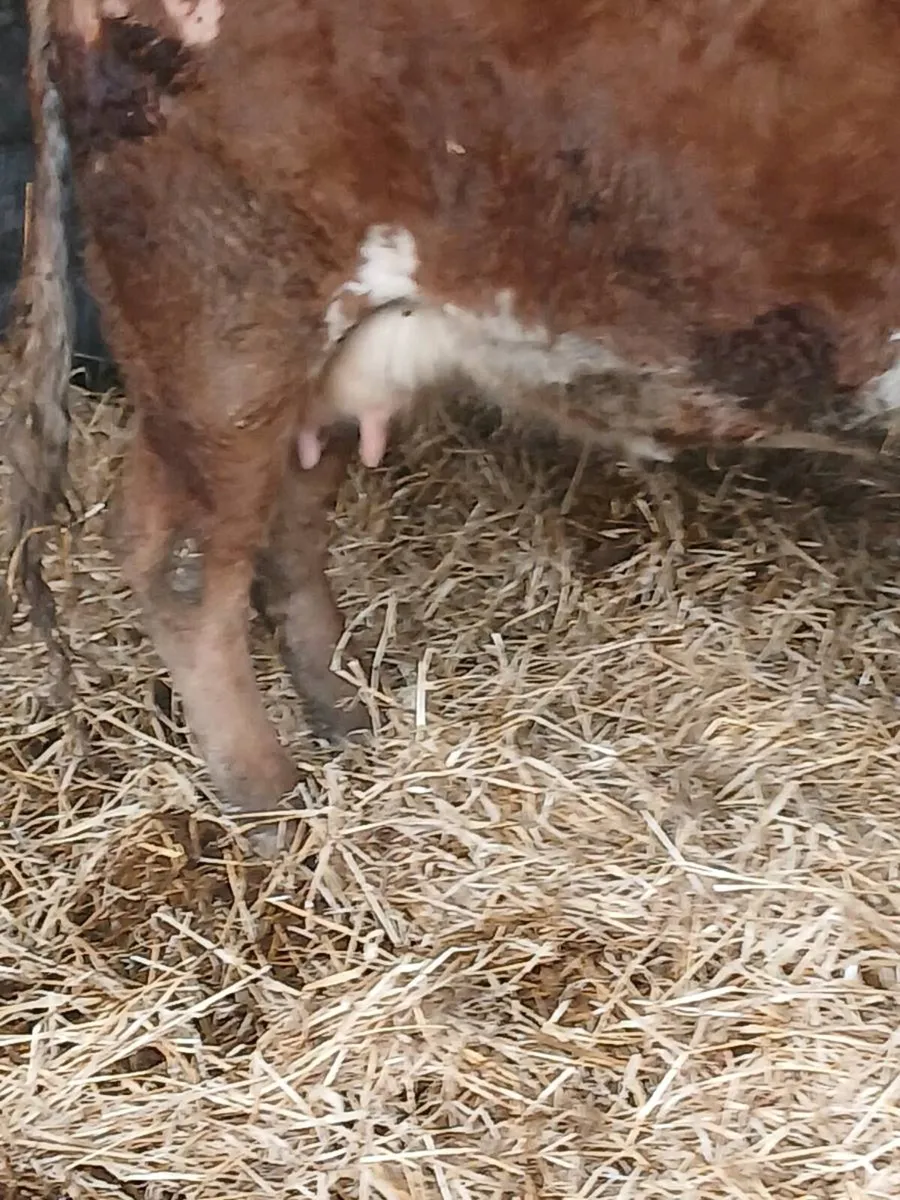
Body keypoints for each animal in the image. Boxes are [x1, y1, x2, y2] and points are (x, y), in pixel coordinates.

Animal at [3, 0, 900, 821]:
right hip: (222, 319)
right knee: (181, 563)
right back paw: (272, 805)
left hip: (319, 356)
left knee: (284, 528)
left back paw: (348, 717)